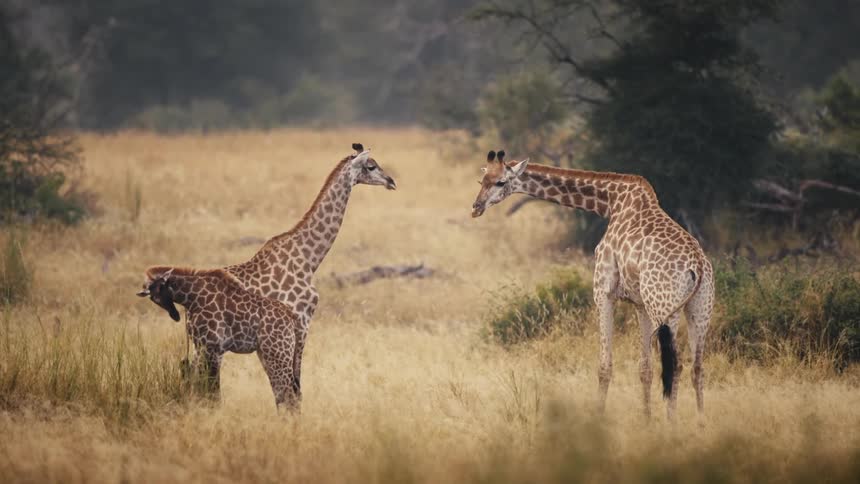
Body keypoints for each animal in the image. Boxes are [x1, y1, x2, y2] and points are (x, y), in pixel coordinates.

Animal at [137, 266, 301, 410]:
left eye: (163, 288)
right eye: (154, 298)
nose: (175, 316)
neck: (194, 298)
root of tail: (292, 317)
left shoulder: (213, 347)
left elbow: (213, 386)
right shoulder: (200, 347)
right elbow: (198, 381)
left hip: (278, 353)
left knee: (288, 393)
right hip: (268, 353)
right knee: (284, 392)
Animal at [223, 143, 396, 403]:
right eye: (371, 166)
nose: (391, 181)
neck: (308, 260)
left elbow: (287, 390)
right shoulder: (300, 323)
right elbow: (293, 390)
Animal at [471, 150, 714, 419]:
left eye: (501, 182)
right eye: (482, 180)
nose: (476, 207)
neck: (611, 202)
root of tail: (697, 267)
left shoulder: (603, 292)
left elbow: (604, 366)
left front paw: (599, 417)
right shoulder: (640, 303)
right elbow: (645, 368)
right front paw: (646, 420)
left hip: (666, 308)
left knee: (676, 364)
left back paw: (672, 422)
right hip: (699, 309)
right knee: (697, 367)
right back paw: (700, 422)